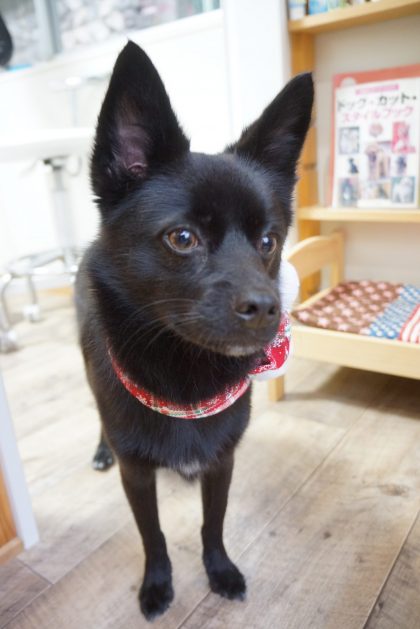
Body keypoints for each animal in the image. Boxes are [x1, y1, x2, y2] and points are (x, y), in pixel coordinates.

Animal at [75, 41, 313, 621]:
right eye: (183, 238)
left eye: (269, 241)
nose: (267, 307)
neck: (184, 378)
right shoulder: (137, 475)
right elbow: (154, 536)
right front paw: (157, 585)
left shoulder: (222, 463)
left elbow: (213, 524)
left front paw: (219, 571)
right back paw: (100, 448)